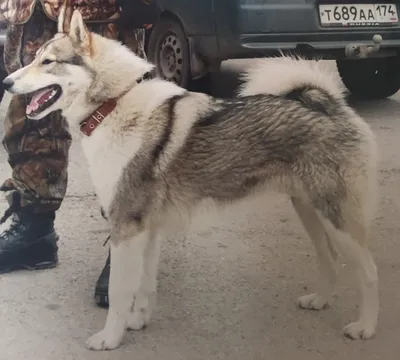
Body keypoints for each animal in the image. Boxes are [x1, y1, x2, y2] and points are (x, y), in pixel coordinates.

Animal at [3, 7, 378, 352]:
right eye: (34, 57)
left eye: (48, 61)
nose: (6, 82)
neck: (114, 104)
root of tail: (328, 103)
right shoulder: (147, 231)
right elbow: (145, 285)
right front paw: (138, 321)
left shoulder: (126, 228)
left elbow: (120, 291)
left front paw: (110, 338)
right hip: (310, 211)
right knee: (330, 258)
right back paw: (320, 300)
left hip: (336, 217)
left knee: (368, 270)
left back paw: (365, 327)